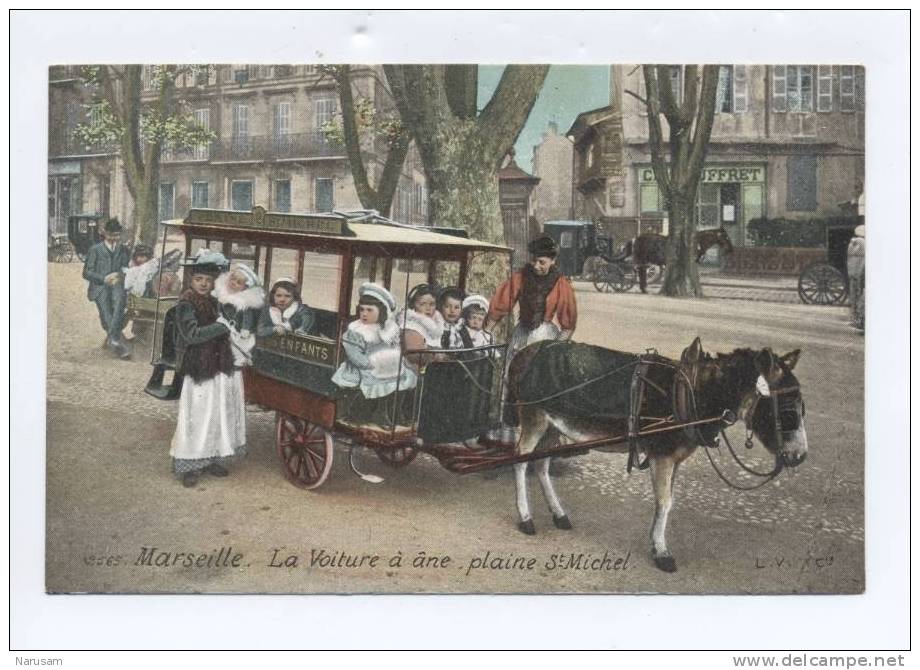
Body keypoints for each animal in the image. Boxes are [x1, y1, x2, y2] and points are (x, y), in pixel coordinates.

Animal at [504, 338, 804, 576]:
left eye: (802, 405)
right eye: (785, 408)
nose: (800, 456)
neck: (691, 392)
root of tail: (524, 352)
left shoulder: (675, 458)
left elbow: (669, 500)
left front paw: (656, 543)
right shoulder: (662, 456)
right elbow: (665, 502)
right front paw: (661, 551)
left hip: (553, 426)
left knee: (541, 465)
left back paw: (559, 514)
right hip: (533, 418)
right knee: (520, 460)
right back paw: (526, 518)